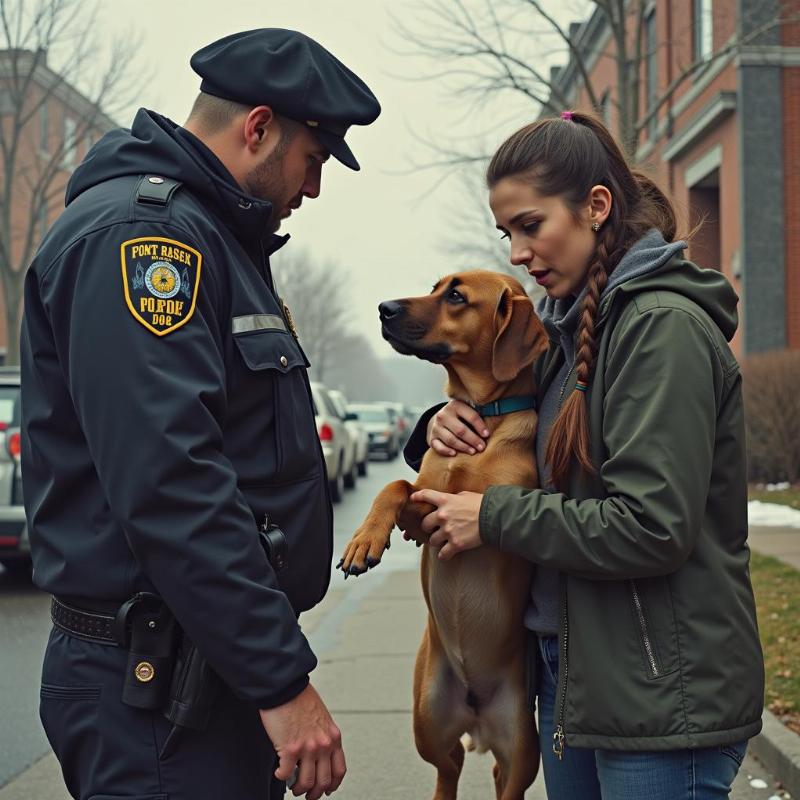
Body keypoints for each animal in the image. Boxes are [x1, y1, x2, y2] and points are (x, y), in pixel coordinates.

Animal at [338, 270, 552, 800]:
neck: (486, 413)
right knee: (448, 766)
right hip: (427, 720)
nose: (384, 308)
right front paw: (363, 541)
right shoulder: (423, 517)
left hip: (524, 744)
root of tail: (475, 710)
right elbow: (395, 486)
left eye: (456, 296)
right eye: (436, 287)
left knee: (502, 779)